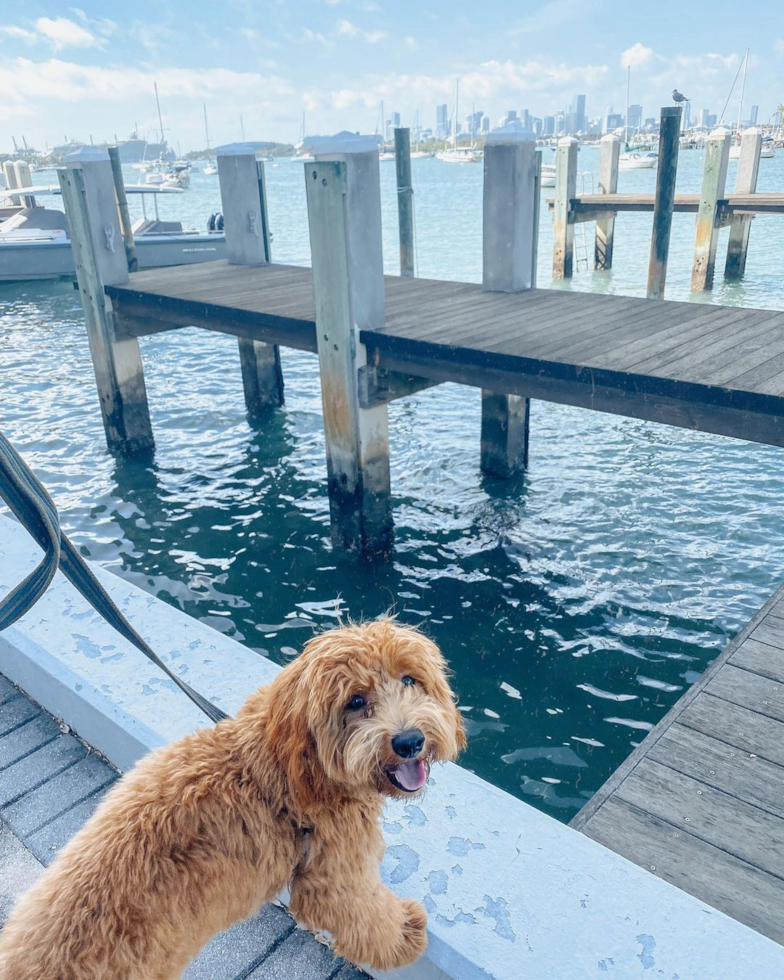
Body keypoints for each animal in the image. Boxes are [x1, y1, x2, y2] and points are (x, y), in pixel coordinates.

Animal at [0, 624, 466, 976]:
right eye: (356, 701)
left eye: (409, 679)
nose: (409, 740)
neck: (286, 766)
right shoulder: (336, 873)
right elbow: (365, 915)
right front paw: (406, 934)